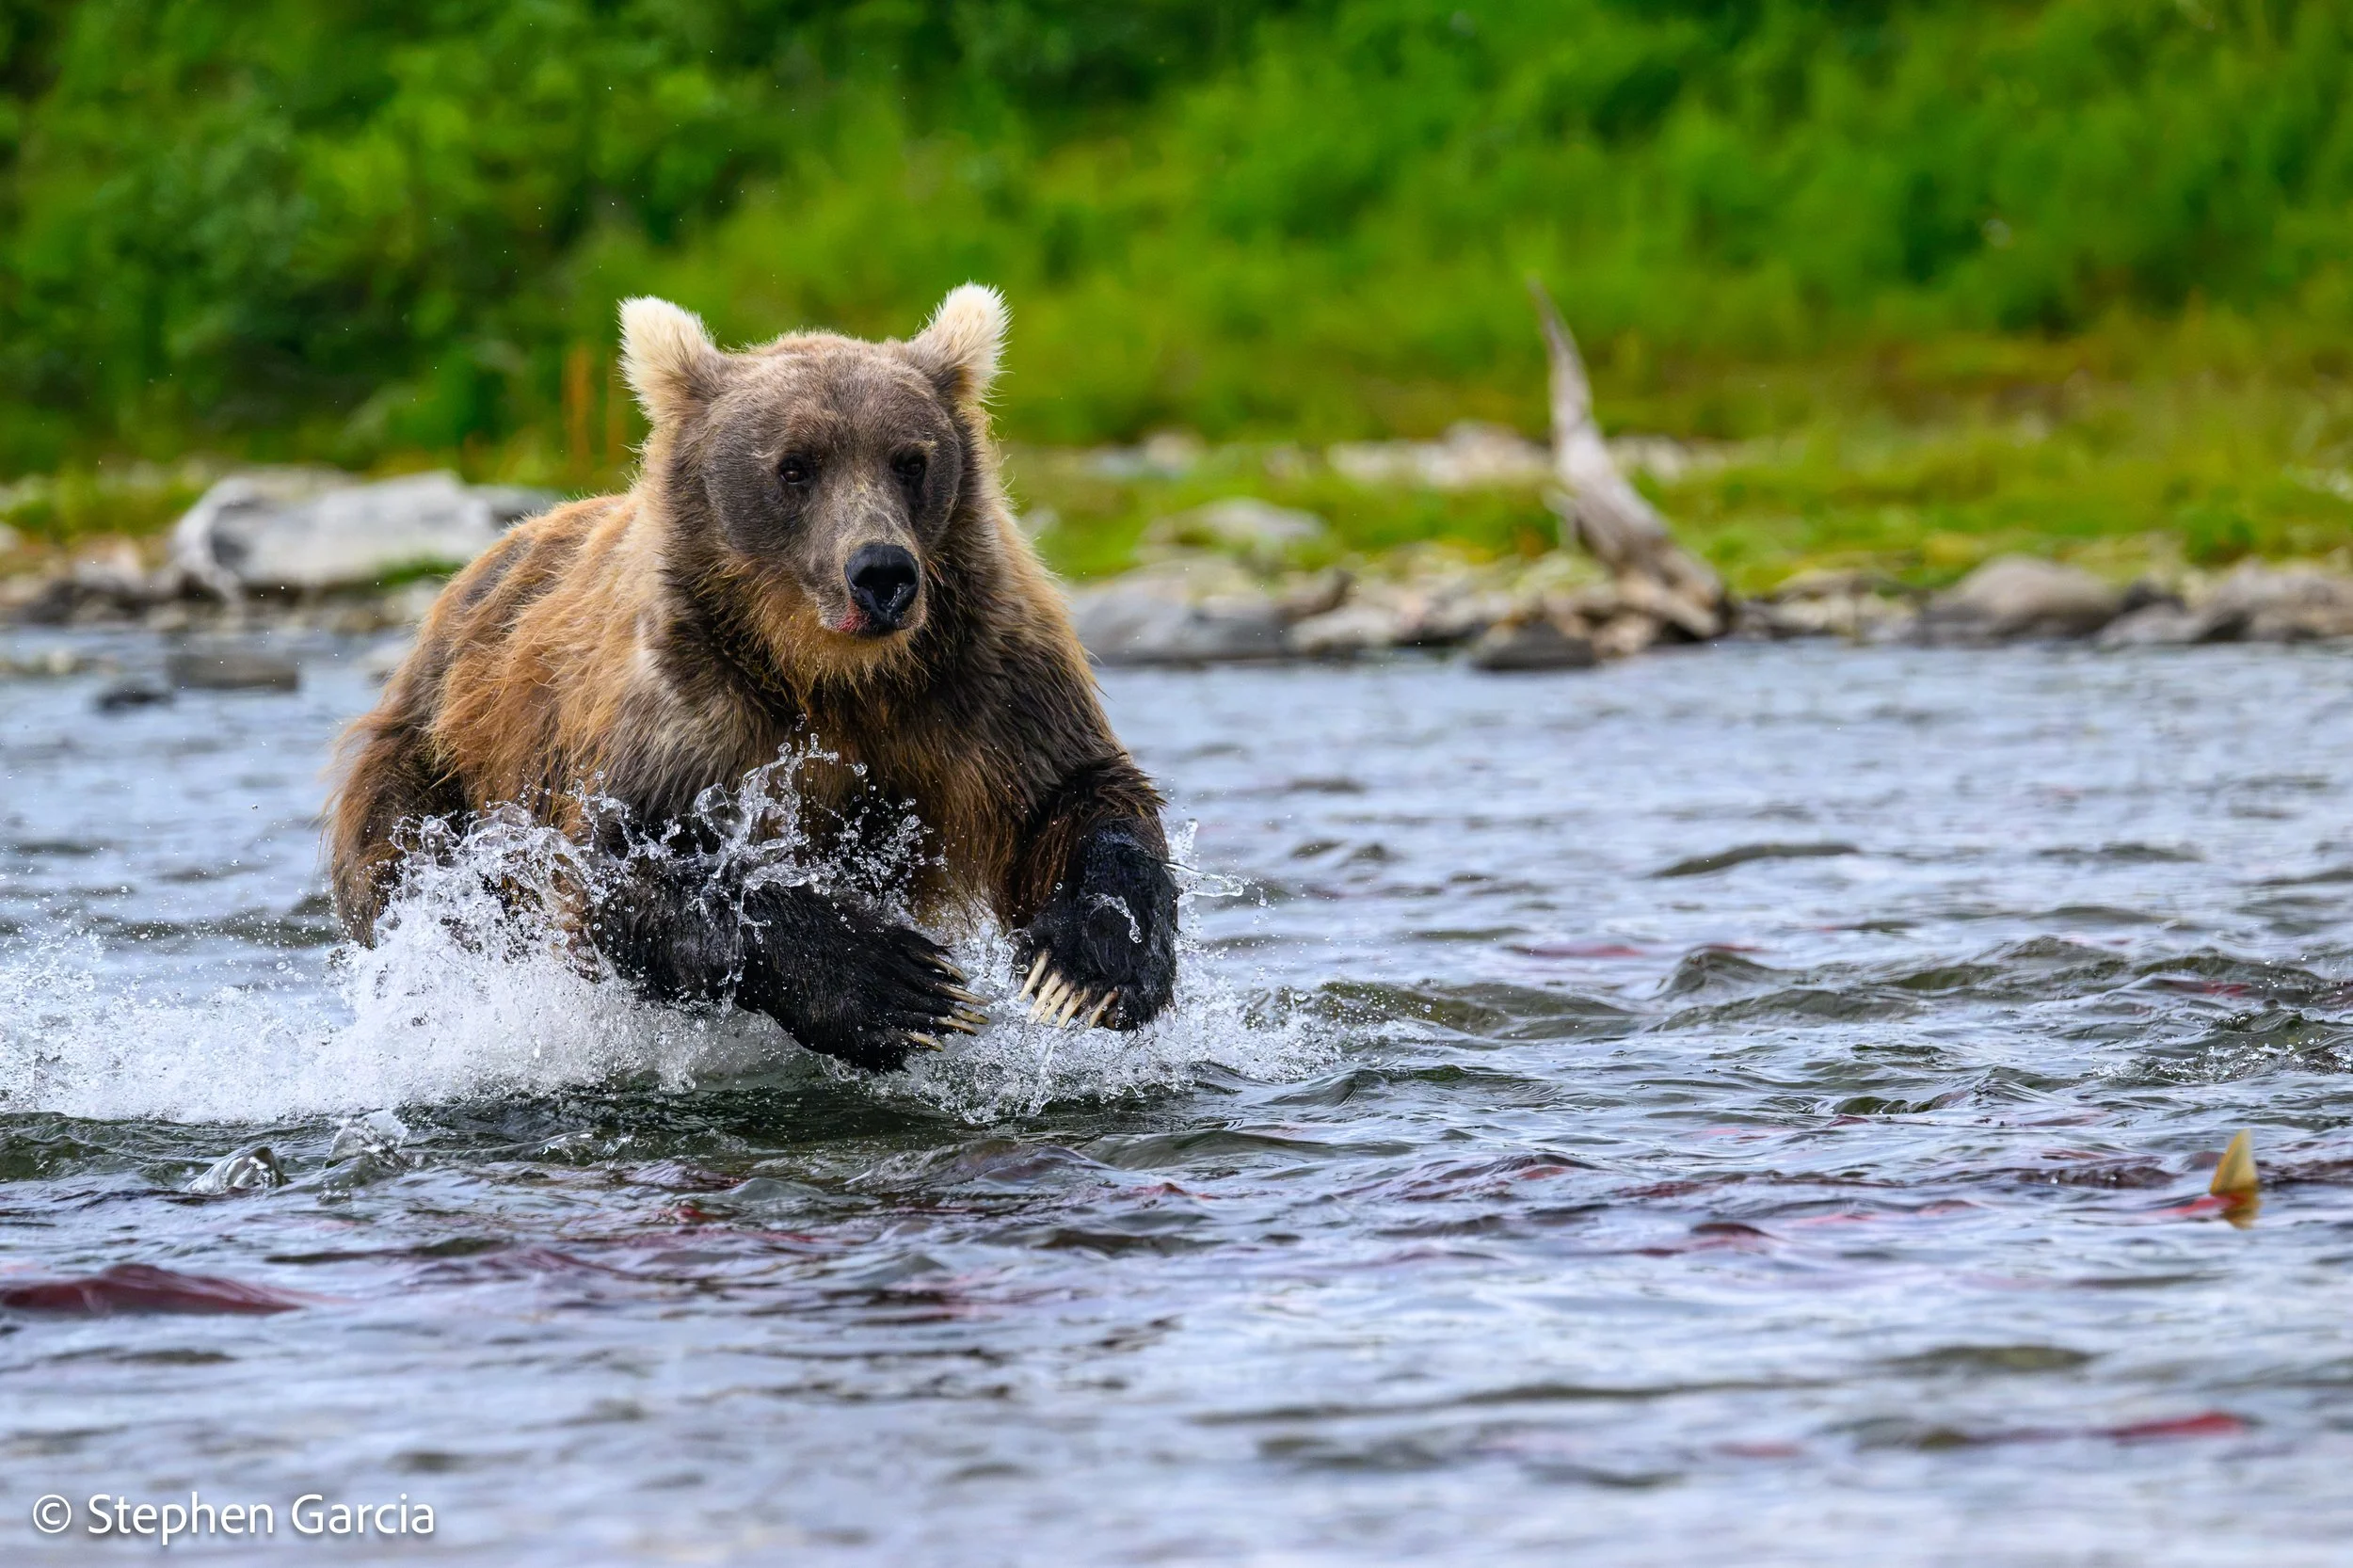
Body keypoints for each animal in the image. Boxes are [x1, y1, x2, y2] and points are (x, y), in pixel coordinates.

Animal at [327, 285, 1179, 1071]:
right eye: (795, 466)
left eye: (910, 460)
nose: (882, 574)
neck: (832, 675)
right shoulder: (687, 714)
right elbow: (620, 873)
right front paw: (896, 983)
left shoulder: (982, 678)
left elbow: (1074, 794)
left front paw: (1092, 962)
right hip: (430, 772)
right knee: (417, 882)